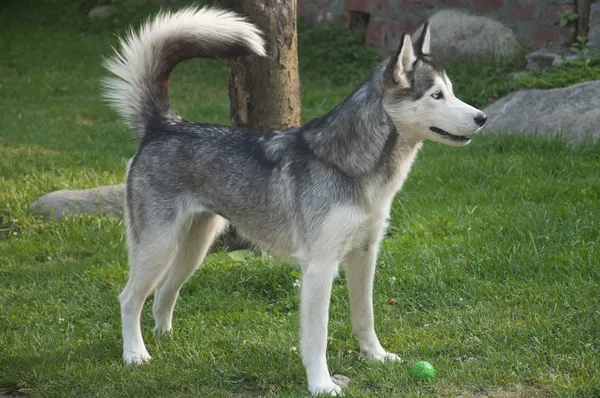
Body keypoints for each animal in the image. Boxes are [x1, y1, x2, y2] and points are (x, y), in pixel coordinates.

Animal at [104, 6, 488, 394]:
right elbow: (317, 338)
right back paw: (135, 354)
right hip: (158, 247)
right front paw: (321, 384)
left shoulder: (364, 255)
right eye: (436, 95)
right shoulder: (320, 267)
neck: (348, 166)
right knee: (129, 298)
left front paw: (375, 357)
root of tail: (165, 125)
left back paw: (164, 339)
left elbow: (365, 316)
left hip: (193, 248)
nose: (482, 117)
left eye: (451, 92)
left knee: (163, 293)